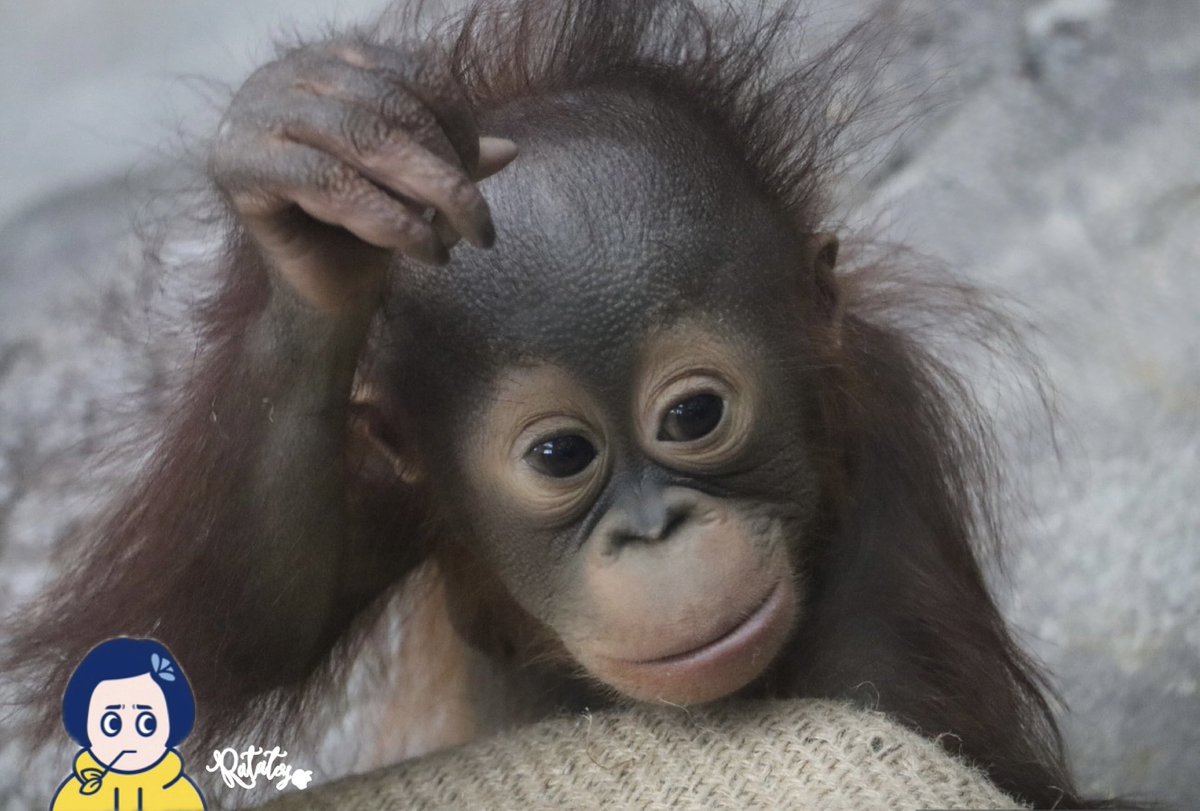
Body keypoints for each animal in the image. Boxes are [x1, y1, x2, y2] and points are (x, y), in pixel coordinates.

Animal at [0, 0, 1106, 807]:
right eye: (559, 457)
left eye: (695, 417)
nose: (655, 531)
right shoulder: (395, 477)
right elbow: (225, 628)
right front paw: (309, 200)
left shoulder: (879, 454)